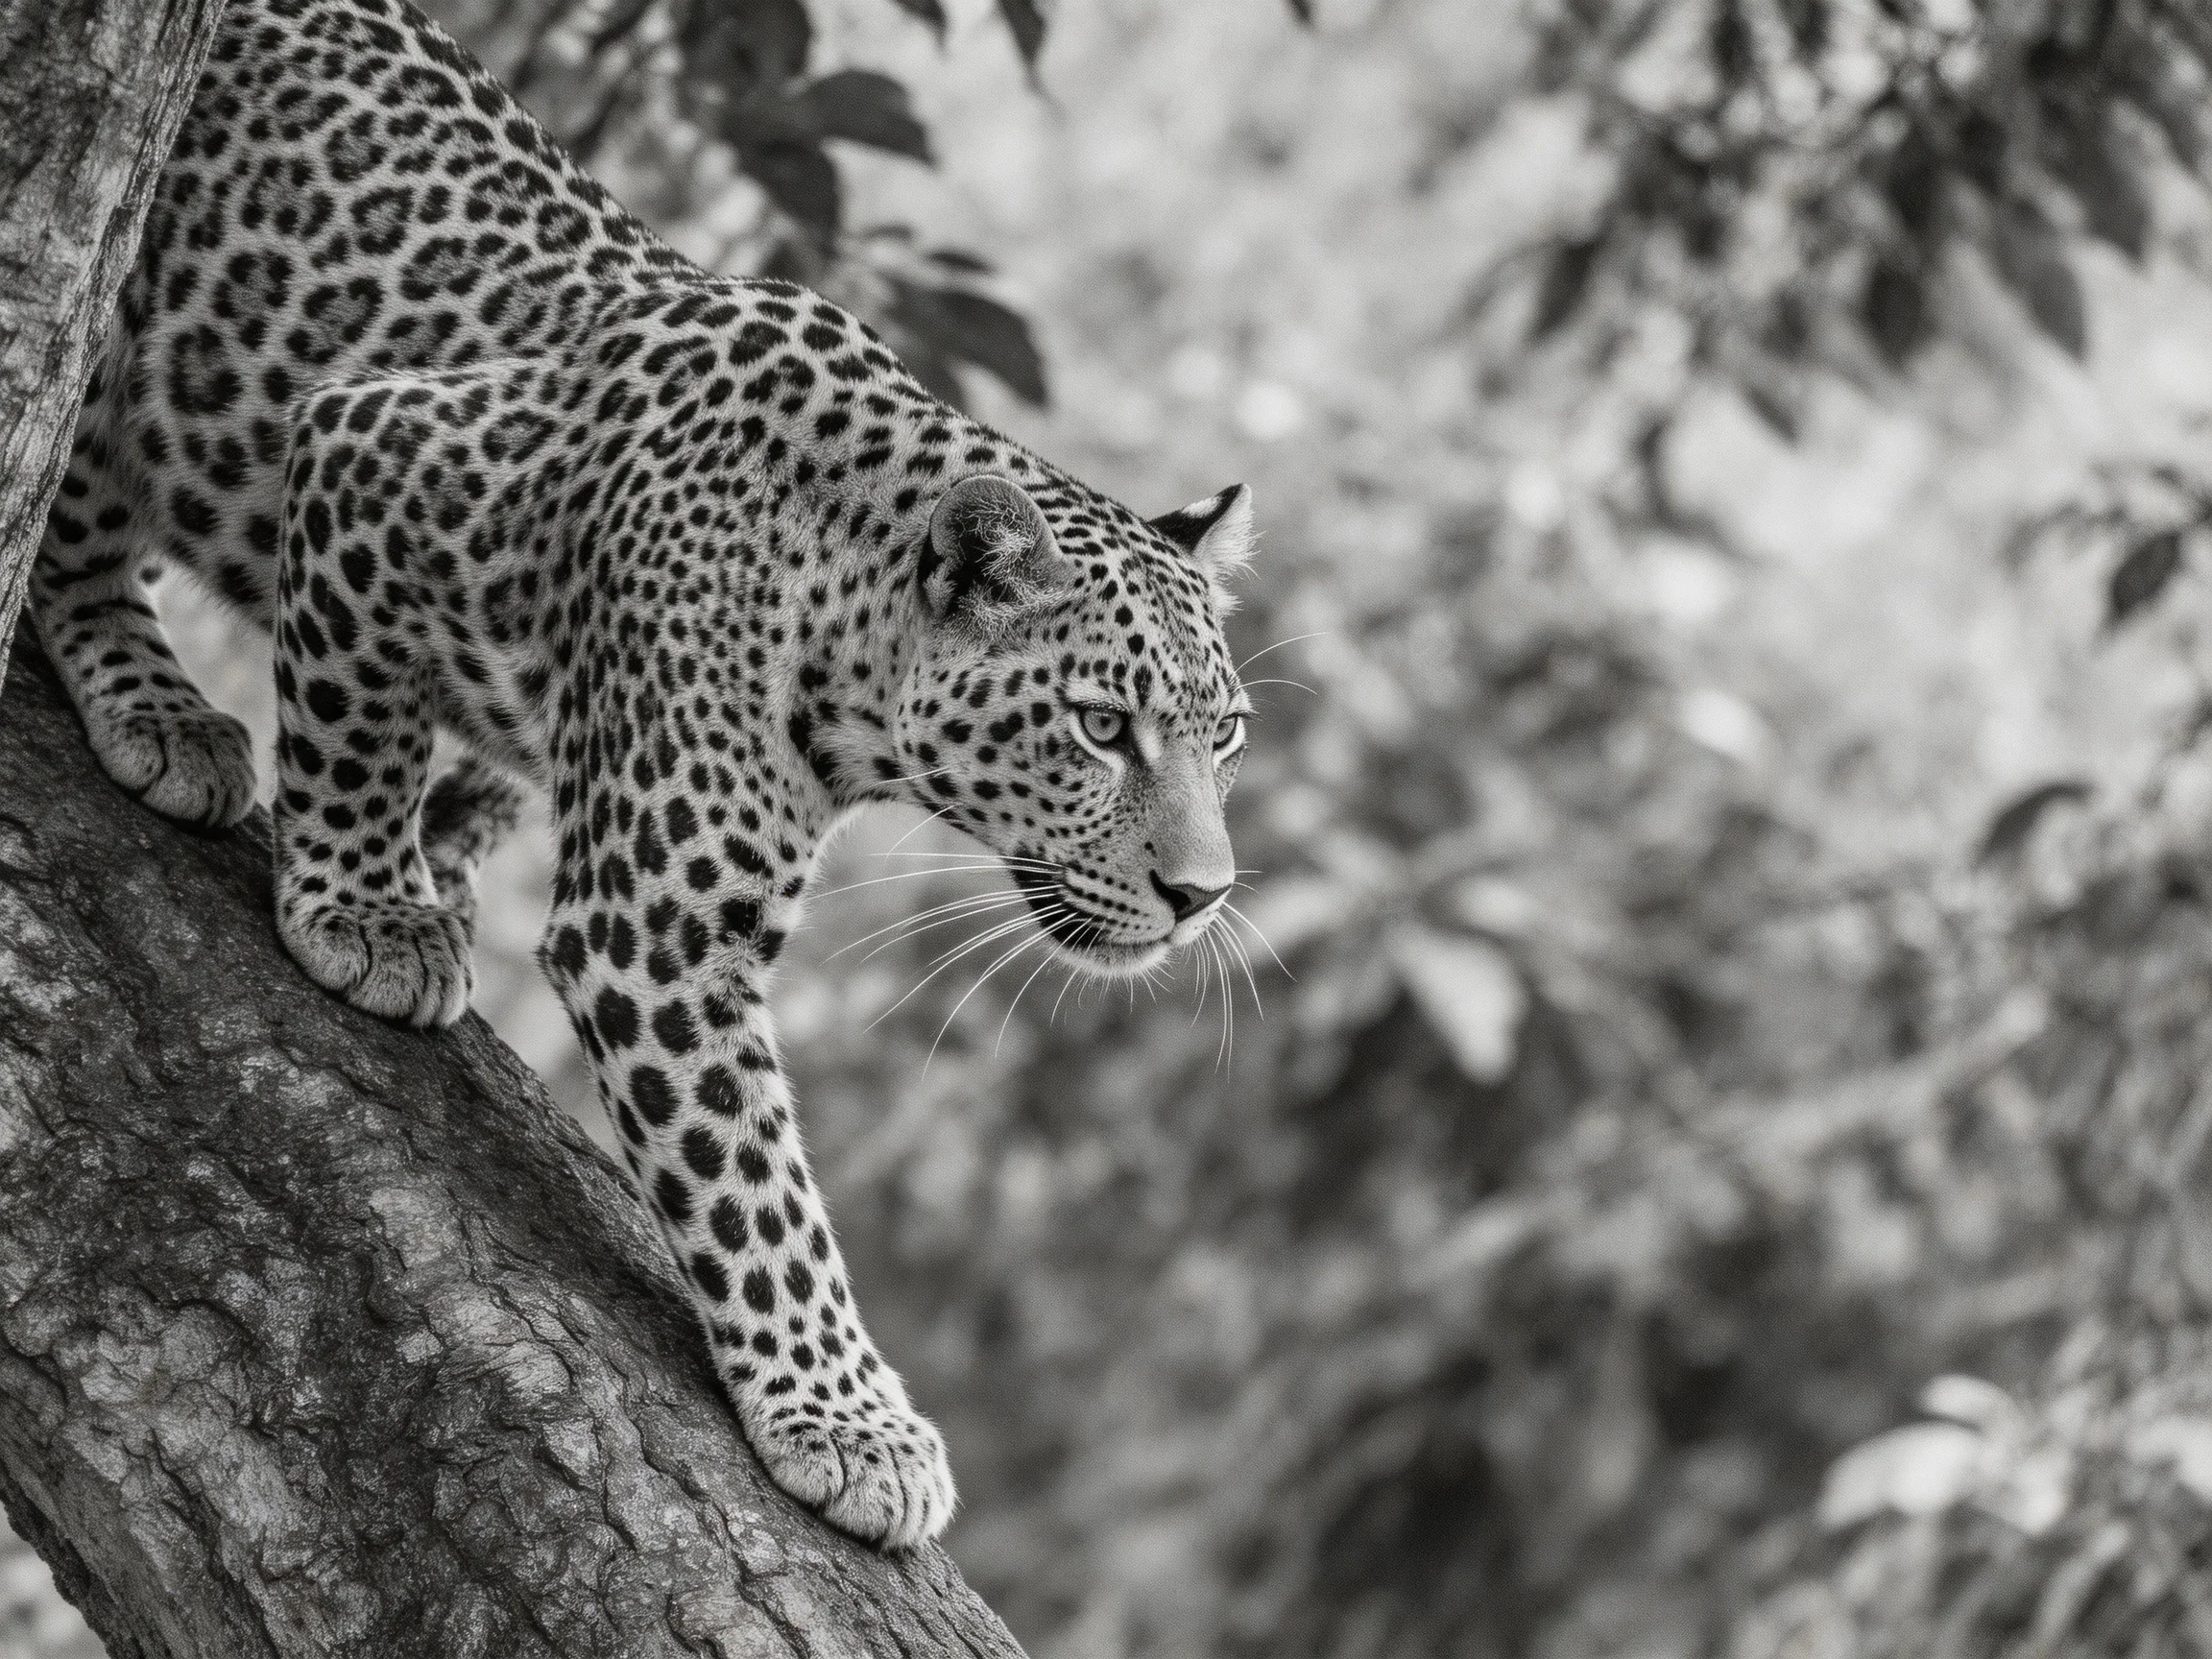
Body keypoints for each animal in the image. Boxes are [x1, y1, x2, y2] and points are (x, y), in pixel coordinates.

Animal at [28, 0, 1256, 1550]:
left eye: (1224, 738)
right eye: (1102, 727)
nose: (1203, 894)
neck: (837, 616)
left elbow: (470, 768)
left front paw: (433, 865)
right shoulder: (382, 463)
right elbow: (756, 1188)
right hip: (131, 330)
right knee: (78, 507)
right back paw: (164, 707)